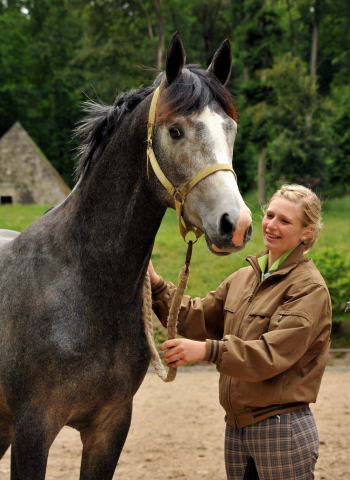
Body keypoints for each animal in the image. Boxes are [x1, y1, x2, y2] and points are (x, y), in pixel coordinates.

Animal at [0, 33, 252, 480]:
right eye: (175, 130)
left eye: (231, 129)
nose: (235, 224)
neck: (84, 283)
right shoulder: (32, 430)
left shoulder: (110, 426)